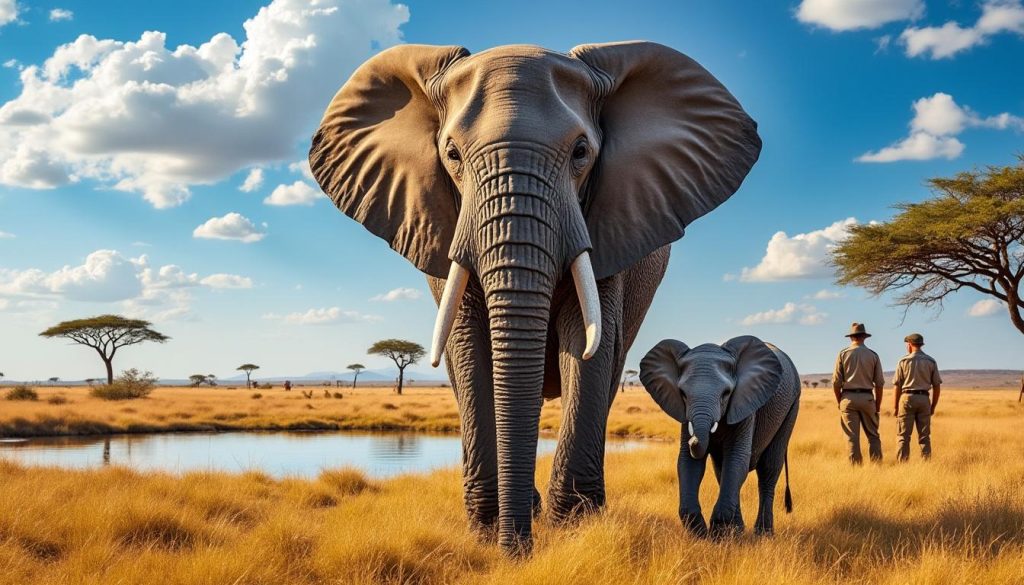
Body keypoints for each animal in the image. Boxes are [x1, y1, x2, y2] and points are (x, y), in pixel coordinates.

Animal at [309, 41, 761, 555]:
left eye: (581, 152)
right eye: (451, 154)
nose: (518, 550)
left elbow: (585, 343)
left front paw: (574, 528)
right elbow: (468, 348)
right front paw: (488, 531)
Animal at [639, 336, 800, 537]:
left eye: (726, 393)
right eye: (683, 394)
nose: (694, 439)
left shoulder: (746, 404)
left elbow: (737, 458)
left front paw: (718, 533)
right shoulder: (684, 412)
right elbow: (688, 461)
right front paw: (703, 534)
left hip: (792, 406)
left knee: (768, 468)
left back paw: (763, 534)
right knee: (721, 469)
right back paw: (738, 531)